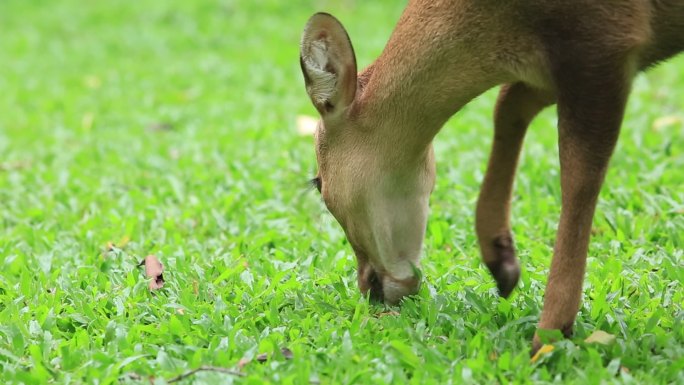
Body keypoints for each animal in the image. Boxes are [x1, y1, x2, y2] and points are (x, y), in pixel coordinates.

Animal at [300, 0, 684, 352]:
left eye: (318, 184)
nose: (370, 288)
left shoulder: (605, 43)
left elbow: (579, 175)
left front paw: (547, 337)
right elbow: (508, 106)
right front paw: (503, 264)